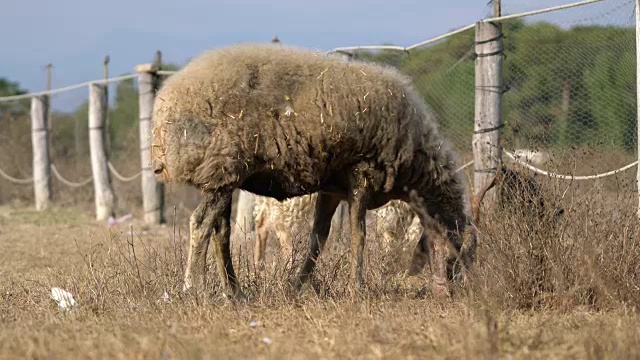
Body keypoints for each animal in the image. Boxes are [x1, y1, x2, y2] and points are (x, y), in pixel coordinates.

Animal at [151, 43, 490, 300]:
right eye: (459, 255)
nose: (451, 294)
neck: (415, 161)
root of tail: (163, 106)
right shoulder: (361, 174)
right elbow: (358, 235)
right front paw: (356, 288)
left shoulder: (331, 189)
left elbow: (319, 238)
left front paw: (295, 286)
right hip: (221, 167)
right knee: (200, 225)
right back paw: (193, 288)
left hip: (221, 177)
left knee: (220, 231)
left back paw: (235, 293)